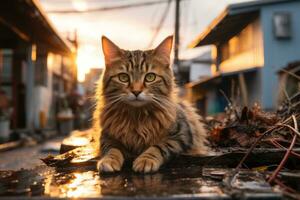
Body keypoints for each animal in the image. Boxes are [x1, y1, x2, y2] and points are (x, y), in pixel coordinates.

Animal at [95, 36, 207, 173]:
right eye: (123, 77)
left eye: (150, 77)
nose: (136, 91)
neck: (136, 117)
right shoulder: (107, 136)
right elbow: (112, 149)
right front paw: (108, 160)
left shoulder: (182, 135)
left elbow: (159, 146)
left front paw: (146, 159)